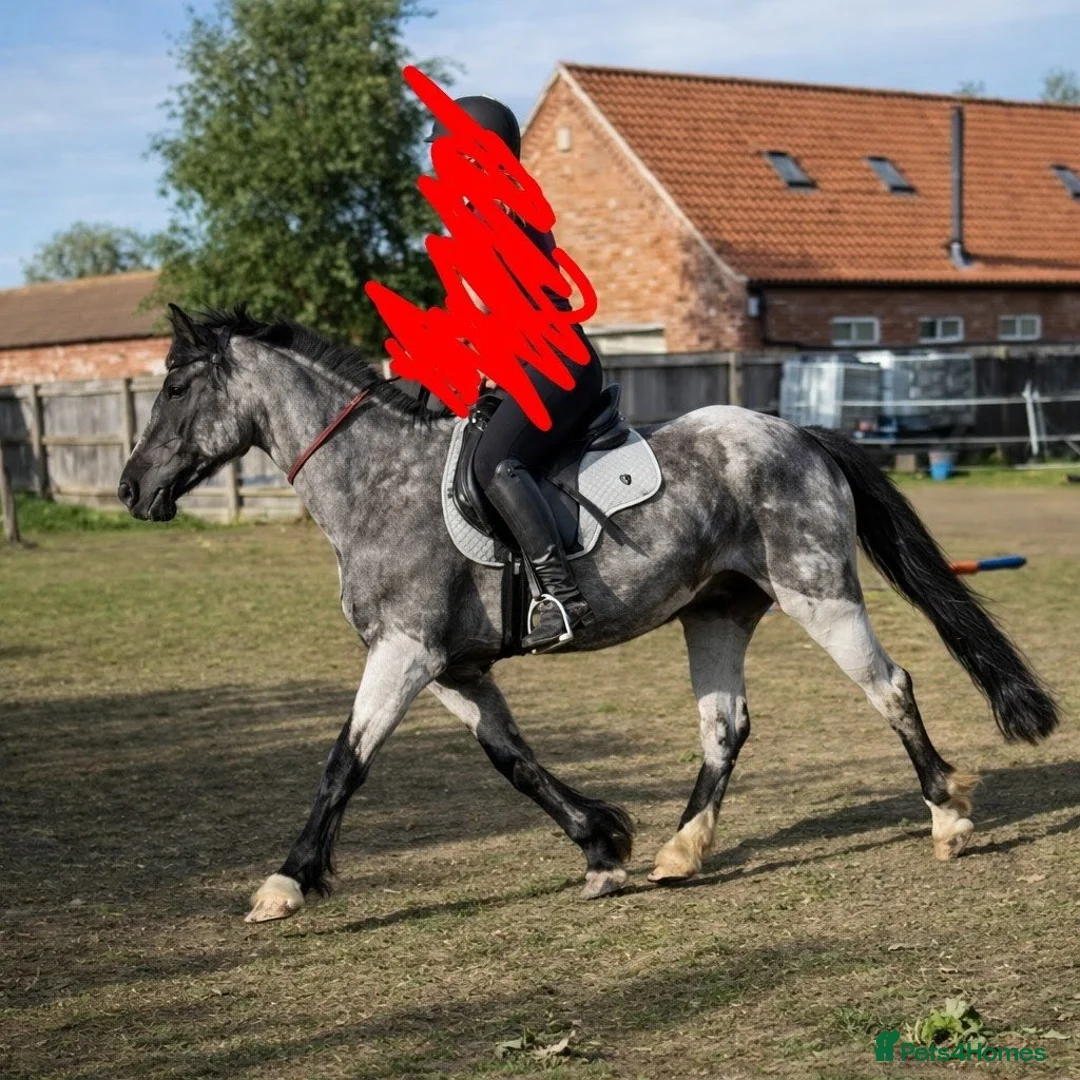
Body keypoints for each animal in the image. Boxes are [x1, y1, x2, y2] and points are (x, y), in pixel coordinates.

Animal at [118, 305, 1058, 923]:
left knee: (889, 686)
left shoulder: (405, 653)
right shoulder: (453, 668)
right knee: (725, 725)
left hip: (816, 590)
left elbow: (343, 764)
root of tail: (798, 433)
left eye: (176, 385)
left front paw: (286, 882)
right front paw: (604, 846)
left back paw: (948, 818)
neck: (375, 481)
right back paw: (681, 852)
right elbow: (515, 762)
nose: (130, 491)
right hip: (716, 612)